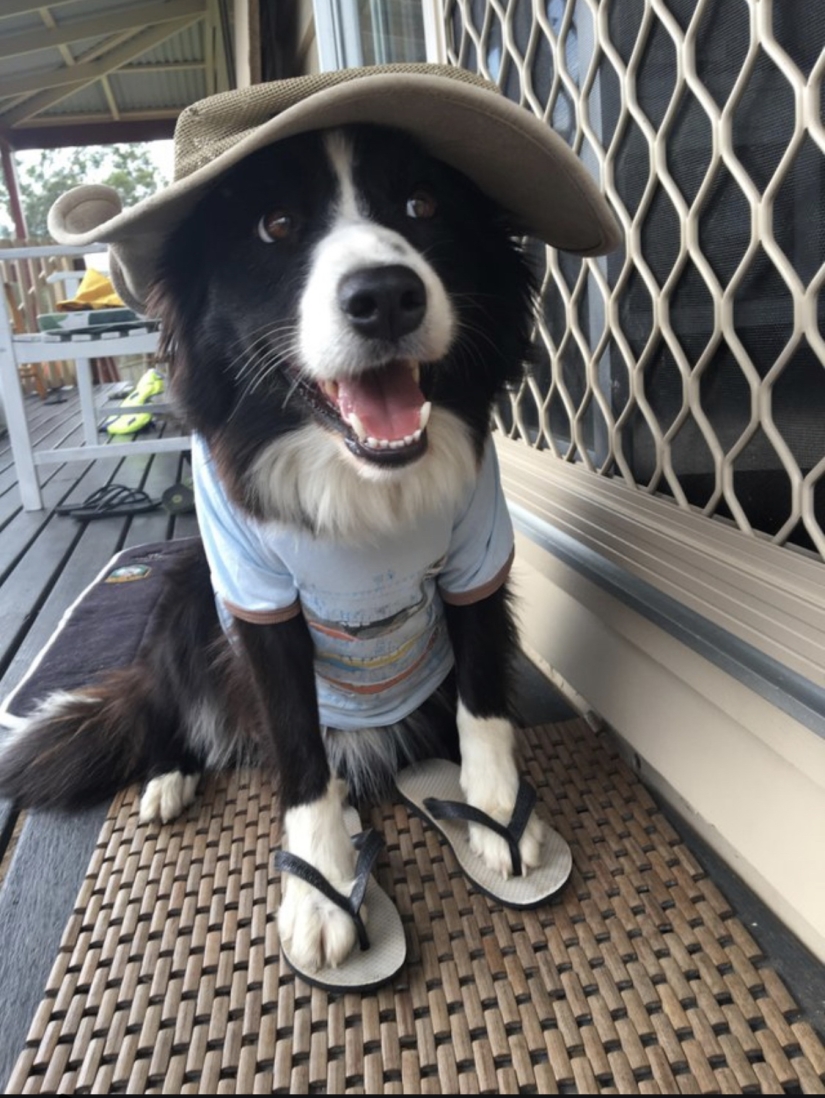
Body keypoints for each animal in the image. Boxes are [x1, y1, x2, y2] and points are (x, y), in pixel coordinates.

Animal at [0, 124, 549, 975]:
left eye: (423, 205)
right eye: (277, 225)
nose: (385, 297)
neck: (365, 487)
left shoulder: (478, 556)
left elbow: (483, 693)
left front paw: (496, 812)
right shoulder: (257, 601)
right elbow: (296, 746)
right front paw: (319, 890)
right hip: (188, 585)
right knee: (161, 700)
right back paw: (169, 777)